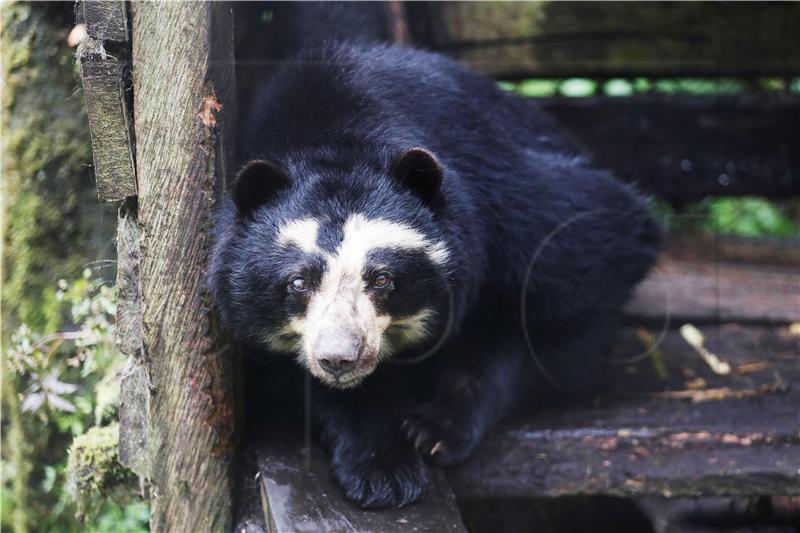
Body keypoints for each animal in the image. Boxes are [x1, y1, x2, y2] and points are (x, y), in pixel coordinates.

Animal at [209, 2, 660, 510]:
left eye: (382, 278)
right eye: (298, 282)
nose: (339, 357)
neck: (336, 138)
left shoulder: (504, 201)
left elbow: (597, 258)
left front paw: (436, 429)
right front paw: (381, 468)